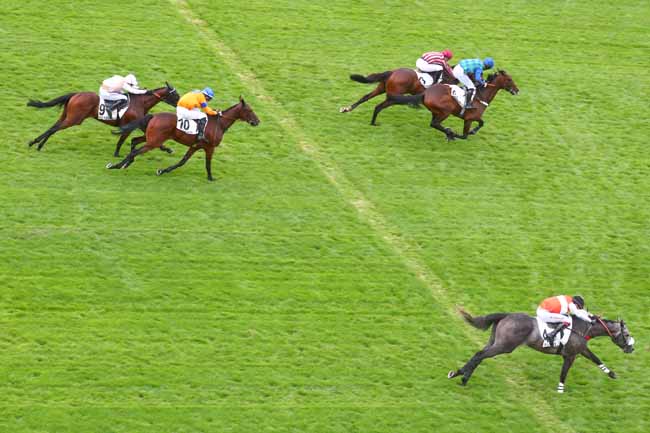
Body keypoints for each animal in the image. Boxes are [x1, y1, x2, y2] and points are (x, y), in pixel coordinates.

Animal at [26, 82, 178, 154]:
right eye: (175, 95)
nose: (179, 103)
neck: (140, 103)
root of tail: (75, 94)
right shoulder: (130, 125)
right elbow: (122, 140)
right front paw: (116, 154)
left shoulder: (140, 124)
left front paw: (166, 149)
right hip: (74, 119)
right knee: (55, 129)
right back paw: (36, 144)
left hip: (67, 116)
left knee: (53, 127)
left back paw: (37, 144)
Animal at [105, 96, 258, 181]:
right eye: (250, 110)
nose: (257, 121)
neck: (219, 124)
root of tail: (153, 115)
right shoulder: (210, 147)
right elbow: (208, 164)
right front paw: (210, 178)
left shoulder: (195, 146)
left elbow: (182, 161)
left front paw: (163, 171)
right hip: (154, 141)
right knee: (136, 151)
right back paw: (117, 165)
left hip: (151, 138)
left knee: (134, 142)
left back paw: (125, 163)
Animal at [384, 69, 516, 140]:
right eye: (509, 79)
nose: (517, 90)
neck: (481, 95)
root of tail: (426, 92)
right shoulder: (470, 118)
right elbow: (466, 134)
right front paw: (461, 133)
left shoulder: (472, 118)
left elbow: (481, 123)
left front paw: (467, 132)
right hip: (445, 111)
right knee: (435, 123)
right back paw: (450, 133)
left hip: (436, 111)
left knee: (434, 123)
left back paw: (448, 132)